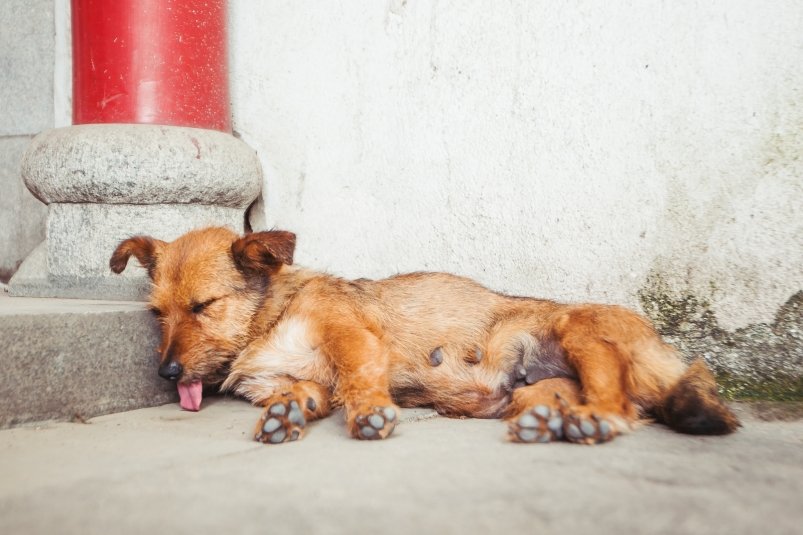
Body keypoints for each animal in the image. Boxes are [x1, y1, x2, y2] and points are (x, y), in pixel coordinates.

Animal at [110, 228, 740, 446]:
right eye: (158, 313)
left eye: (204, 307)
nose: (166, 374)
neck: (266, 321)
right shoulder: (294, 380)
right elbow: (302, 393)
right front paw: (285, 416)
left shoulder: (350, 333)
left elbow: (359, 377)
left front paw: (370, 413)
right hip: (536, 386)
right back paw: (549, 424)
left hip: (578, 330)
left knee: (621, 399)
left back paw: (595, 421)